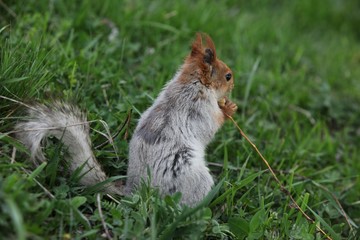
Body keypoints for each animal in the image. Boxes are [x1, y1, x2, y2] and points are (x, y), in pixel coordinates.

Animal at [14, 33, 238, 206]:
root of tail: (135, 190)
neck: (192, 83)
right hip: (193, 178)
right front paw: (228, 109)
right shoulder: (199, 108)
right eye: (227, 76)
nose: (233, 85)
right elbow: (211, 126)